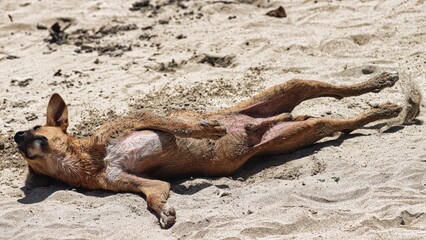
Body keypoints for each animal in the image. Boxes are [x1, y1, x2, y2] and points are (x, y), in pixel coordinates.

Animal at [14, 71, 420, 229]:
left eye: (35, 128)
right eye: (23, 148)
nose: (16, 135)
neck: (85, 158)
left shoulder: (139, 120)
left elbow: (176, 124)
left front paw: (208, 128)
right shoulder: (133, 182)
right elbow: (155, 195)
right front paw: (164, 213)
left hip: (292, 88)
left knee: (336, 91)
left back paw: (383, 87)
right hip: (298, 131)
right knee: (340, 122)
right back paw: (388, 110)